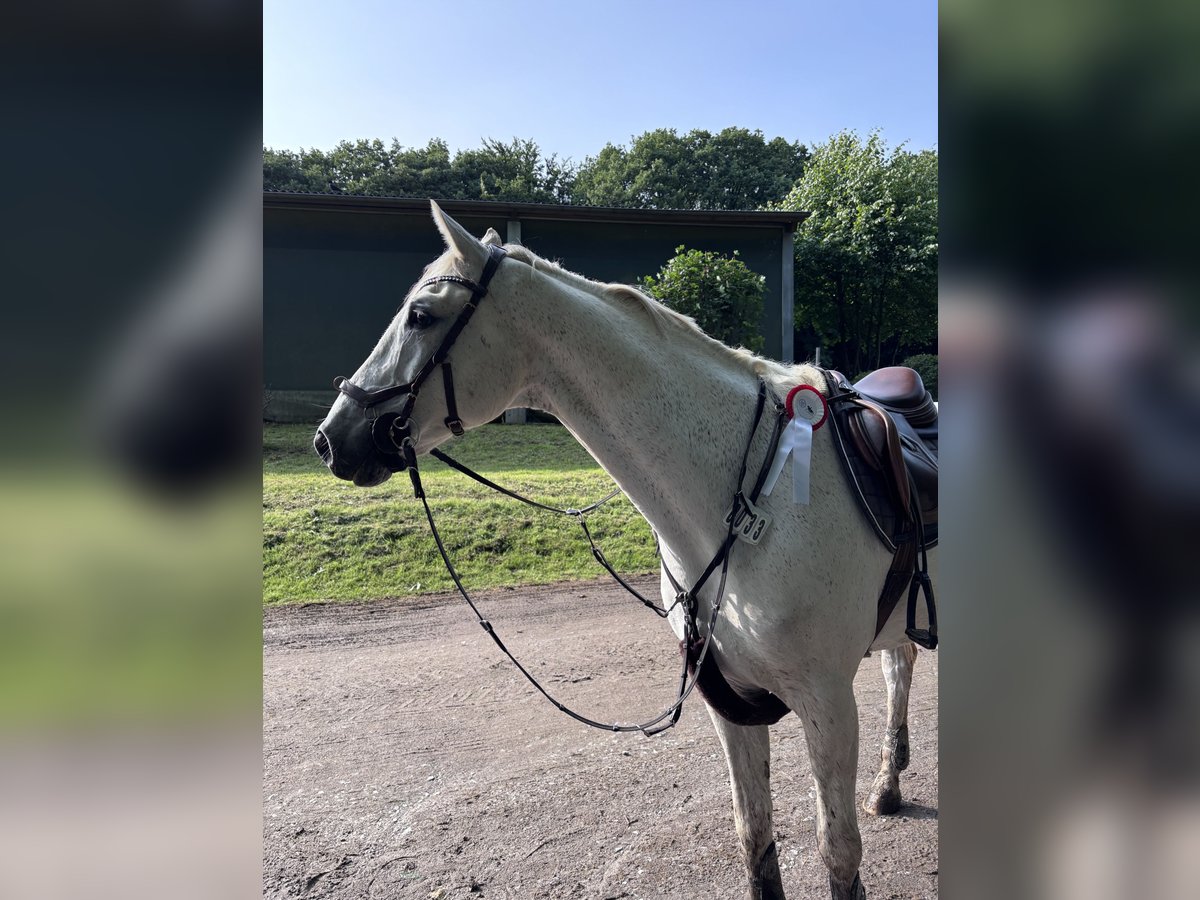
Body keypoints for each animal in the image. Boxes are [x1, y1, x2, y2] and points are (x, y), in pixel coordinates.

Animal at [314, 202, 935, 900]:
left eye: (420, 316)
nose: (331, 438)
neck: (751, 500)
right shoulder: (733, 705)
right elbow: (755, 839)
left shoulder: (827, 703)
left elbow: (839, 854)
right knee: (901, 664)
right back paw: (888, 783)